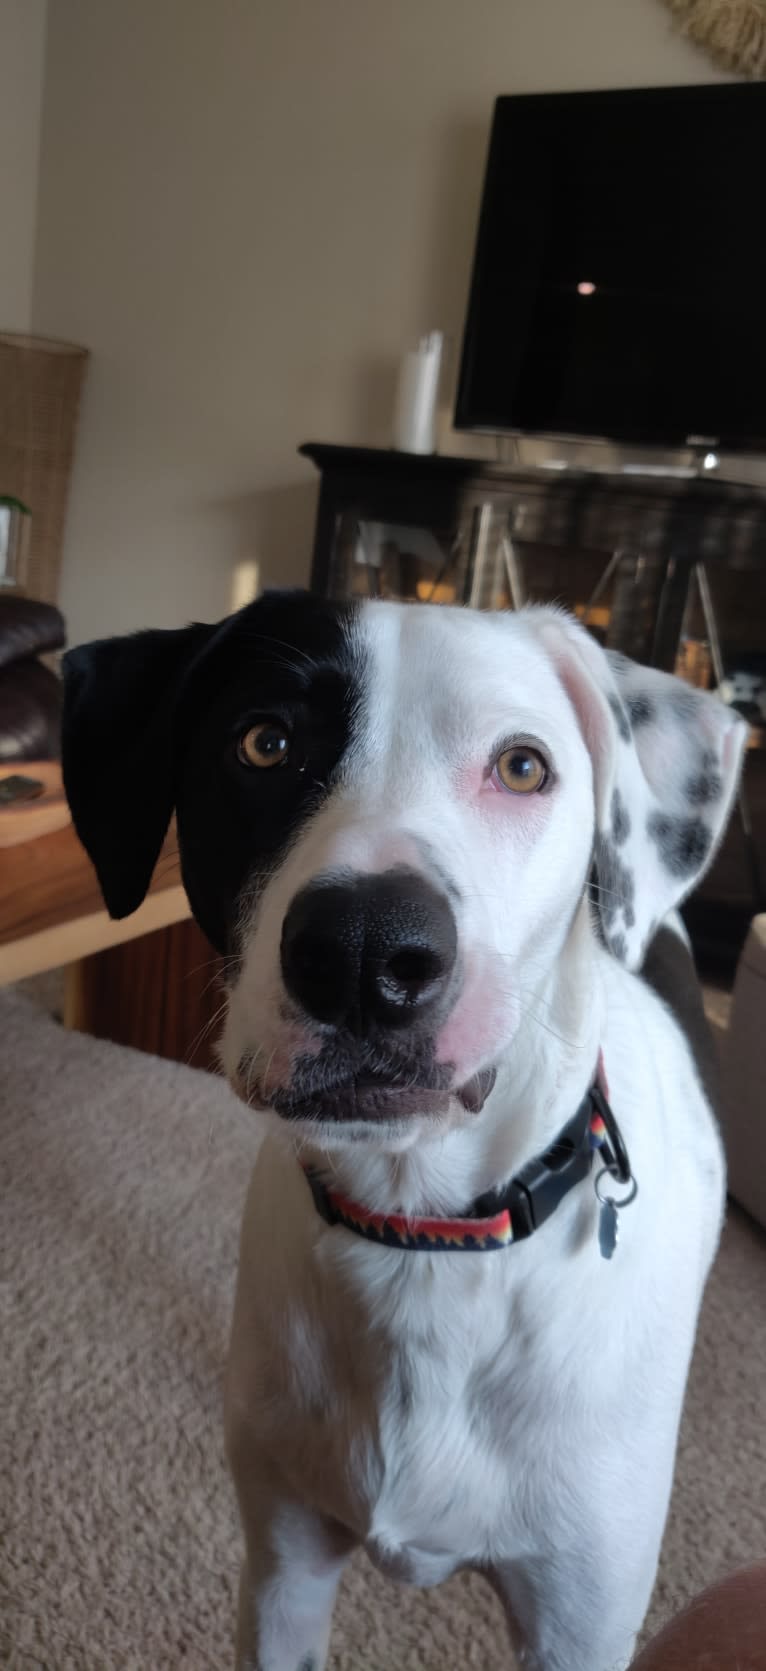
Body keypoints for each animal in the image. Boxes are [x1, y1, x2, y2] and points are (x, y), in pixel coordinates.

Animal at [62, 594, 745, 1671]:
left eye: (522, 766)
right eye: (263, 742)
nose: (362, 950)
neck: (425, 1238)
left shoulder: (579, 1620)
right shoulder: (282, 1568)